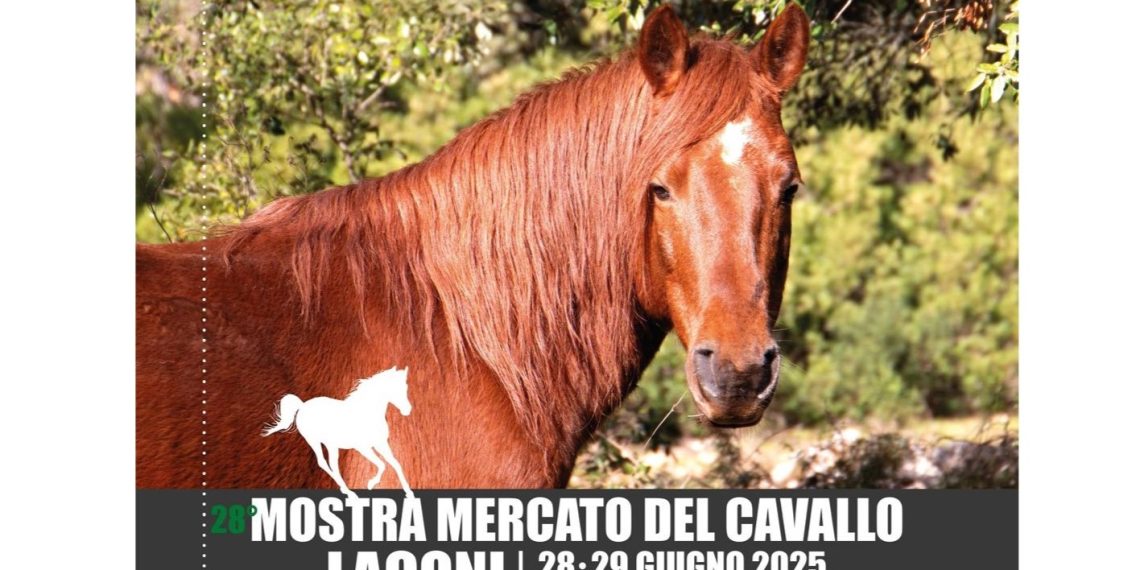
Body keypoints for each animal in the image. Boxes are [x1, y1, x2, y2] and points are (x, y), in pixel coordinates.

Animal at [262, 367, 415, 499]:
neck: (366, 413)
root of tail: (303, 405)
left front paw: (409, 492)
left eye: (405, 388)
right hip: (314, 441)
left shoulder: (381, 443)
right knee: (324, 463)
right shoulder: (363, 448)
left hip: (331, 445)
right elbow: (382, 464)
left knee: (331, 465)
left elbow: (395, 463)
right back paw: (349, 492)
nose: (407, 410)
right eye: (395, 389)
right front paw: (371, 484)